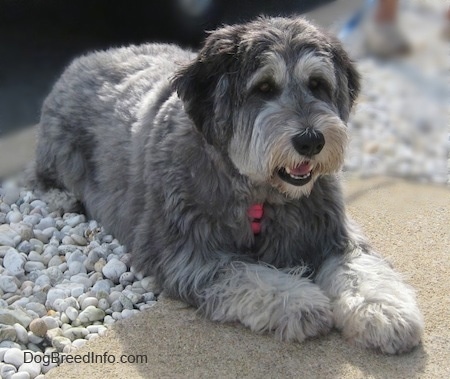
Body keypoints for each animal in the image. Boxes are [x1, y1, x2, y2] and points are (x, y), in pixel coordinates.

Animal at [34, 16, 422, 356]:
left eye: (317, 84)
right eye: (263, 88)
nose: (311, 141)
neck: (257, 192)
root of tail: (86, 58)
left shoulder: (329, 231)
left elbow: (359, 270)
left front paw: (384, 312)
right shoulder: (187, 252)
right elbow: (248, 274)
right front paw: (299, 300)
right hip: (61, 155)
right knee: (40, 177)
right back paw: (58, 199)